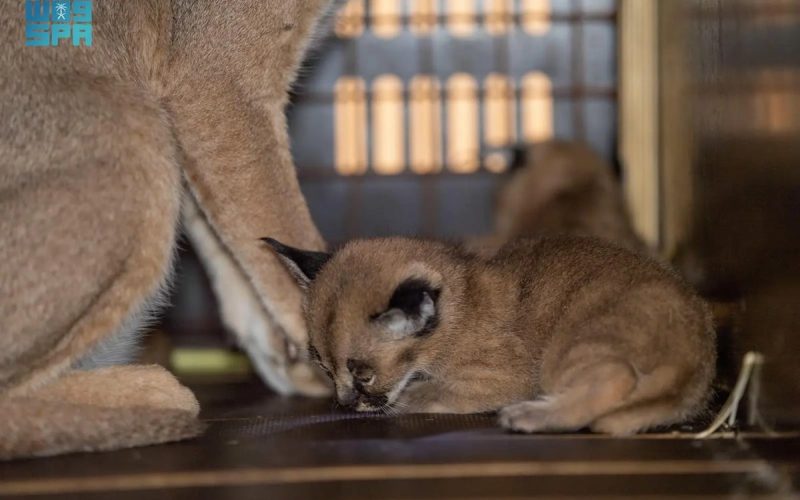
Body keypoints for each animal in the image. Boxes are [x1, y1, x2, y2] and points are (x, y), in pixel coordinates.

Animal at [264, 236, 720, 436]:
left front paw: (411, 397)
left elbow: (434, 390)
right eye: (324, 369)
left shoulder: (508, 374)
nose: (344, 403)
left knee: (614, 377)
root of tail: (698, 351)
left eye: (363, 374)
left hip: (569, 347)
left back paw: (531, 416)